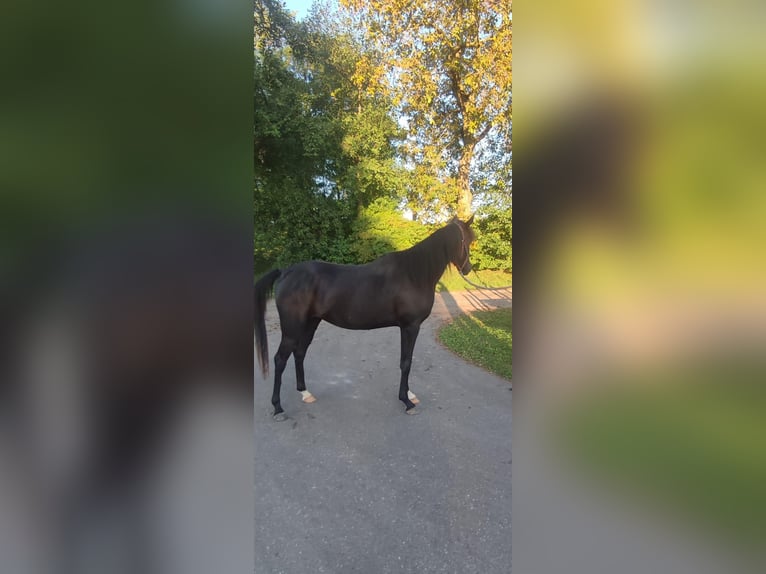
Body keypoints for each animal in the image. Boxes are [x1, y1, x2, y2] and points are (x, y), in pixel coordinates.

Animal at [255, 214, 476, 420]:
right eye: (467, 239)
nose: (468, 269)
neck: (414, 275)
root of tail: (286, 272)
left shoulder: (407, 327)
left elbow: (406, 360)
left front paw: (410, 395)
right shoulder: (410, 326)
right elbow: (406, 362)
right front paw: (407, 401)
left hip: (311, 322)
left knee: (299, 353)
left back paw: (305, 393)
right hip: (292, 329)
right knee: (280, 359)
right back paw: (278, 408)